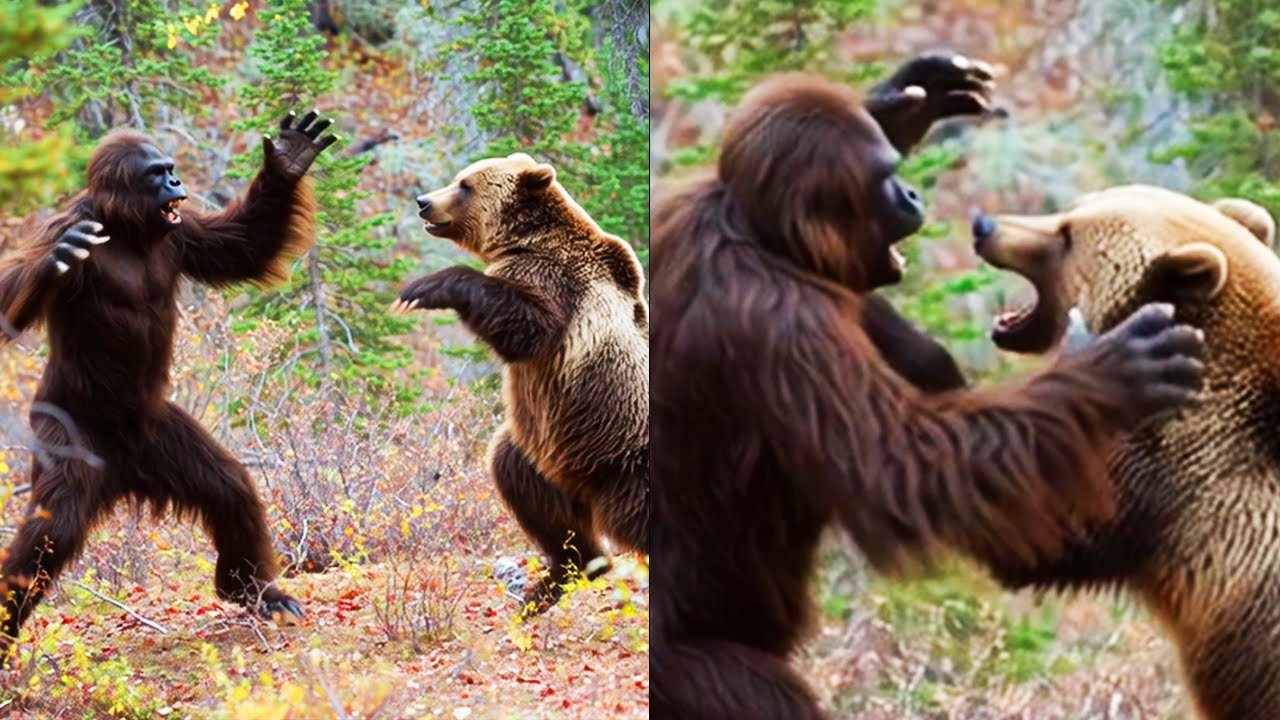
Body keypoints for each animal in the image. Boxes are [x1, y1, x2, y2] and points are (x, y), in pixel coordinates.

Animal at [392, 152, 649, 614]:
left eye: (465, 185)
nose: (424, 202)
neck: (526, 239)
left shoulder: (555, 283)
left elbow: (527, 326)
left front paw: (424, 287)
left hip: (623, 457)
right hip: (547, 452)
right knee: (526, 487)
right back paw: (559, 578)